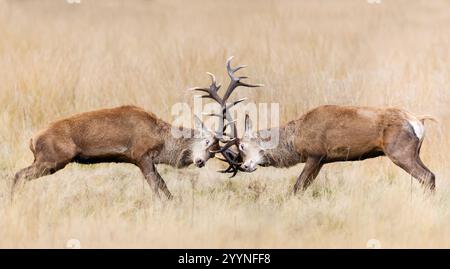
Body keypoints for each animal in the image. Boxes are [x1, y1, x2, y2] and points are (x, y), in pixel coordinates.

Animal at [230, 104, 434, 193]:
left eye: (242, 146)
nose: (244, 166)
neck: (297, 139)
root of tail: (418, 121)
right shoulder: (321, 160)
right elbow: (304, 186)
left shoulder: (315, 154)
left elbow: (297, 186)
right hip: (415, 153)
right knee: (431, 175)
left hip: (399, 152)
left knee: (426, 176)